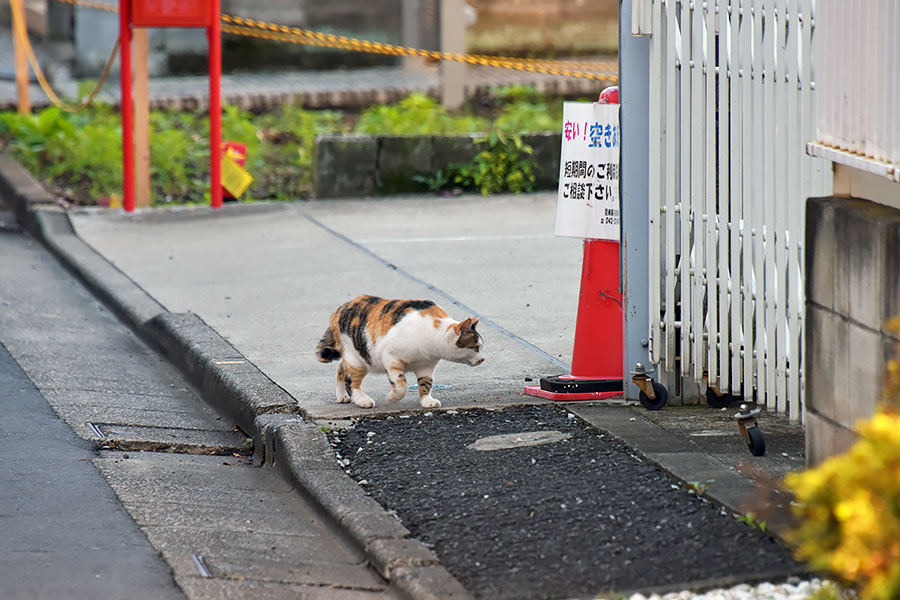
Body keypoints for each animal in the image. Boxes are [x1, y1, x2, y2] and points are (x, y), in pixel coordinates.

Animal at [316, 296, 486, 408]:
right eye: (475, 347)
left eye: (480, 347)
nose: (483, 359)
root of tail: (339, 309)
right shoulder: (390, 358)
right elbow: (401, 385)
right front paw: (391, 398)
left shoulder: (426, 366)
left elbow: (426, 384)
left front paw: (427, 401)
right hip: (356, 359)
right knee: (352, 381)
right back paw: (362, 400)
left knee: (340, 368)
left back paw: (342, 396)